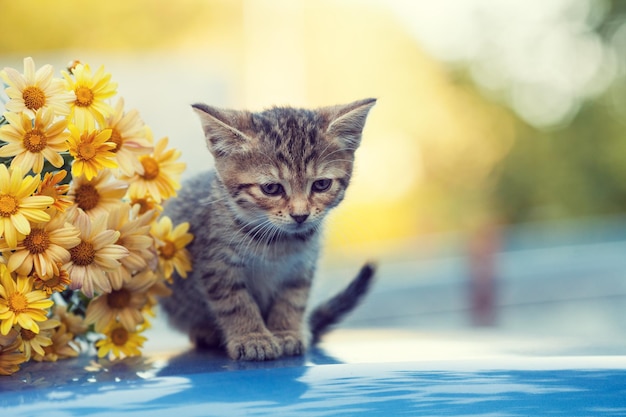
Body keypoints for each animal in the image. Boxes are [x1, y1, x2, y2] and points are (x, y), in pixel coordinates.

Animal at [161, 98, 376, 360]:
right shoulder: (216, 265)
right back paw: (206, 332)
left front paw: (285, 332)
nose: (300, 215)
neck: (277, 243)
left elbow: (292, 300)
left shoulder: (300, 268)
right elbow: (236, 303)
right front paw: (252, 337)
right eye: (271, 188)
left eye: (321, 185)